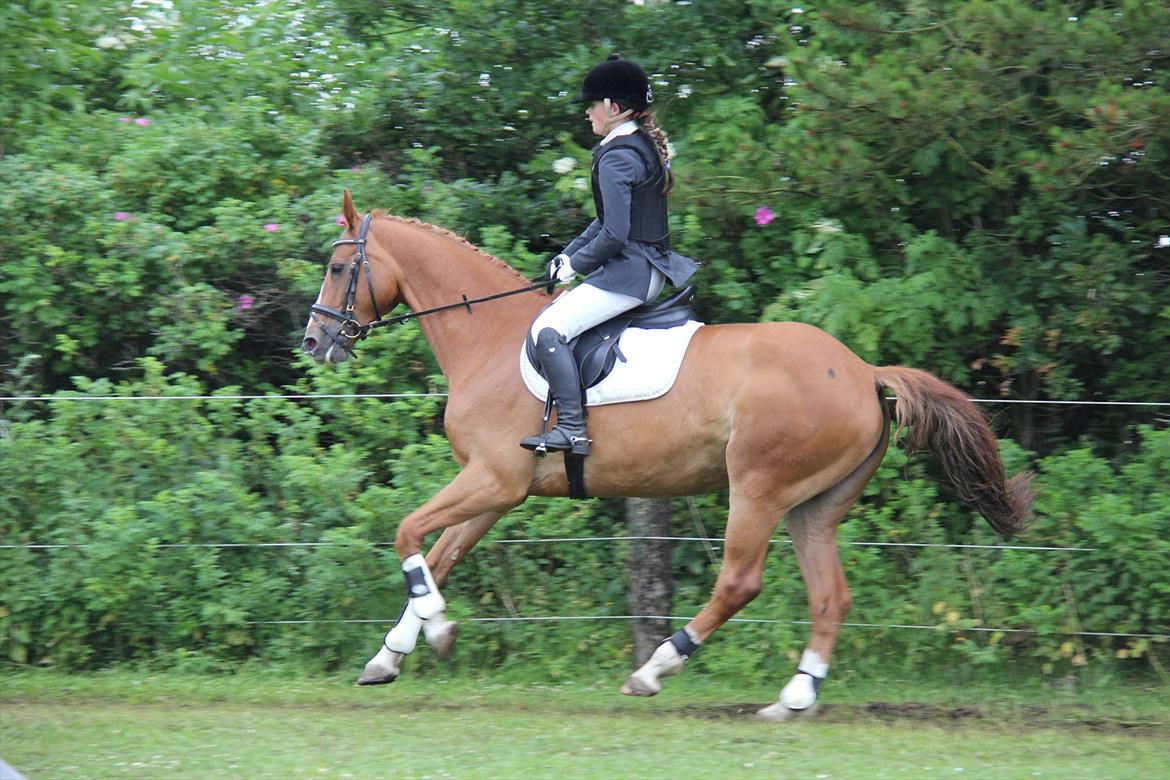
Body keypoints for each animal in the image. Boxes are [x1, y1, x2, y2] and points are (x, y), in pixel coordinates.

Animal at [299, 191, 1034, 725]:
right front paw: (394, 653)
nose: (314, 341)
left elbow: (408, 534)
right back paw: (793, 698)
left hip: (758, 488)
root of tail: (861, 371)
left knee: (739, 582)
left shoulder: (492, 480)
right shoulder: (500, 488)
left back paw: (655, 669)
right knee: (831, 596)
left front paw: (438, 630)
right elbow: (440, 553)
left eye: (337, 268)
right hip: (815, 505)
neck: (490, 340)